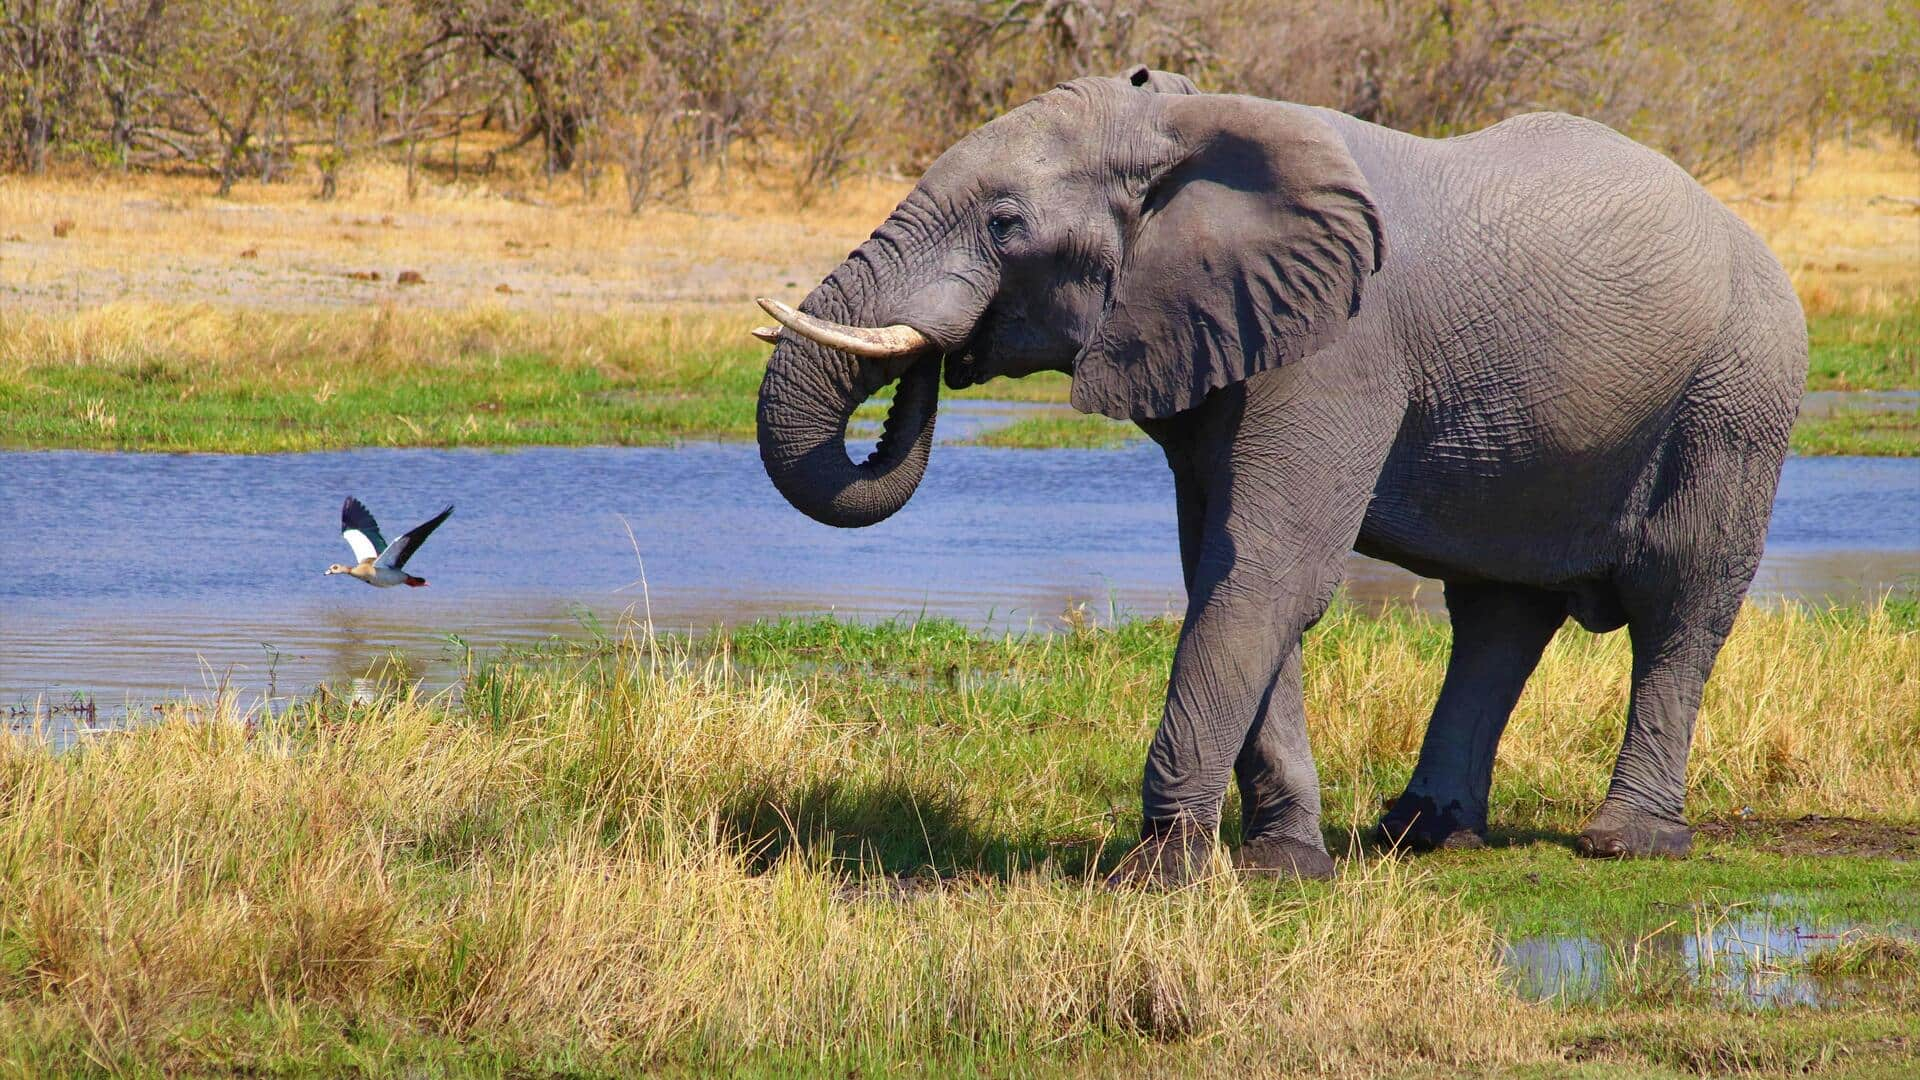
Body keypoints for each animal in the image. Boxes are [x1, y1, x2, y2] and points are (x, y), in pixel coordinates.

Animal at [744, 62, 1797, 880]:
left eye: (1006, 224)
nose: (934, 362)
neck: (1189, 124)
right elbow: (1229, 565)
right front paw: (1281, 863)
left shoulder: (1341, 348)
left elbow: (1267, 569)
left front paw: (1161, 875)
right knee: (1499, 613)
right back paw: (1420, 835)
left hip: (1737, 401)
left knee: (1681, 602)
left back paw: (1629, 844)